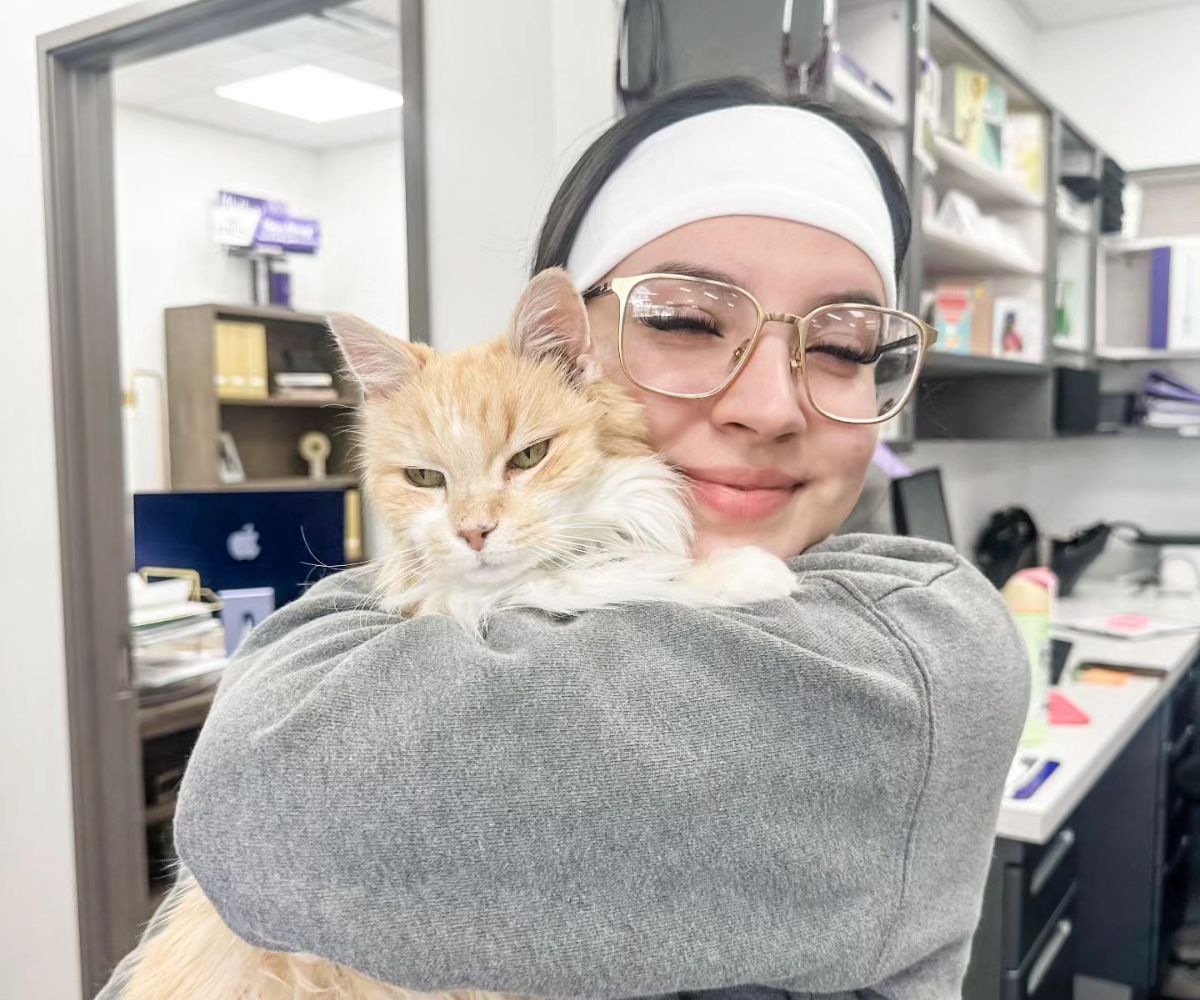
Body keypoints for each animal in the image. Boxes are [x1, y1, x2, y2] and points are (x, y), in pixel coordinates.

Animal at [119, 265, 796, 998]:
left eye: (529, 457)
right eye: (424, 478)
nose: (474, 532)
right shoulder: (487, 600)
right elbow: (616, 578)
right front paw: (747, 572)